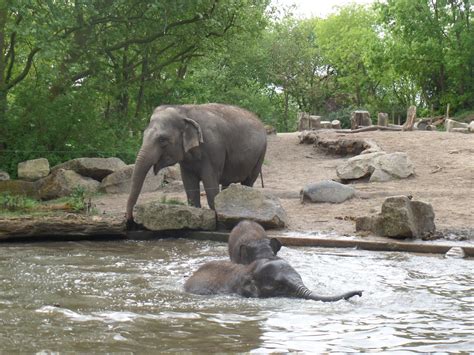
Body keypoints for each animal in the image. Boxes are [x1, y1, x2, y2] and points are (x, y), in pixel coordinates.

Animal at [126, 104, 266, 224]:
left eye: (162, 140)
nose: (130, 220)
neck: (184, 110)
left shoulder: (213, 149)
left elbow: (210, 183)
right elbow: (189, 183)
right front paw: (196, 213)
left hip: (260, 154)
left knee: (248, 181)